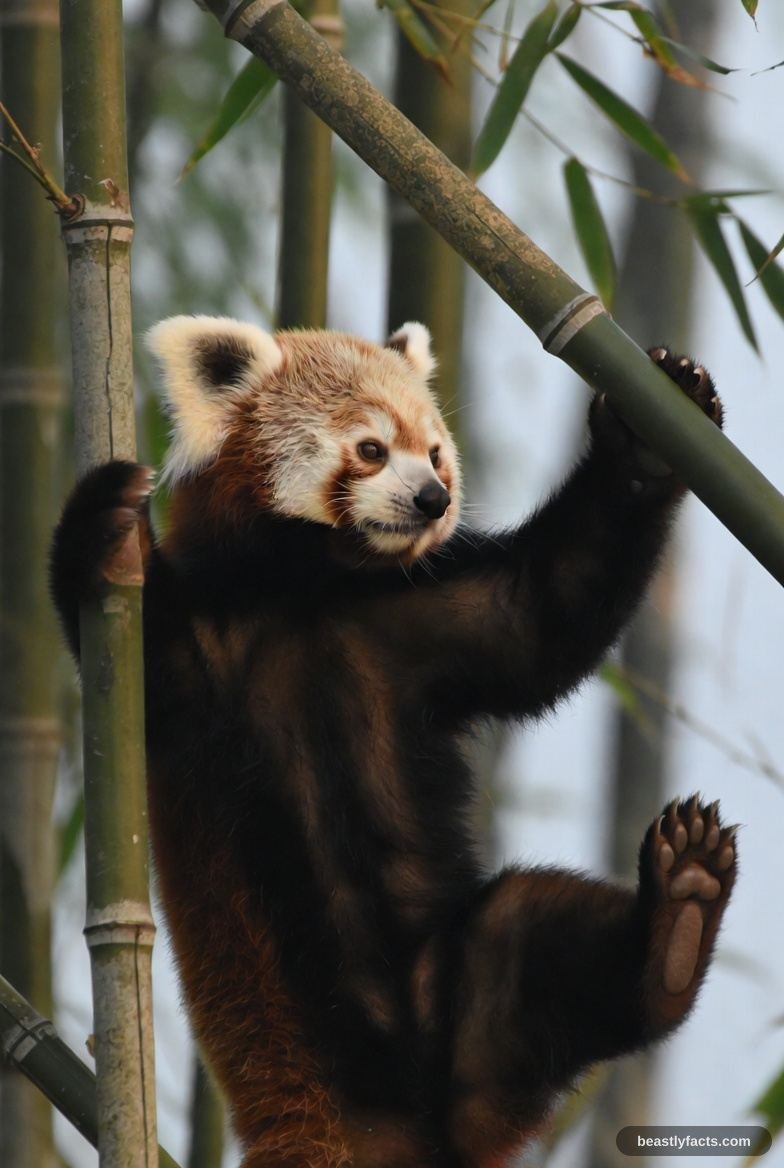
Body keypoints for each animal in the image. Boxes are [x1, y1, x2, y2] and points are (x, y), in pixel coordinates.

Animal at [51, 316, 736, 1168]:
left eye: (437, 453)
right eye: (372, 449)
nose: (434, 498)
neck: (308, 590)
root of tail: (431, 1123)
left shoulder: (415, 617)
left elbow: (540, 611)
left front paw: (646, 440)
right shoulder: (199, 651)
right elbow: (127, 645)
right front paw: (105, 525)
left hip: (477, 983)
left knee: (542, 937)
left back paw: (679, 912)